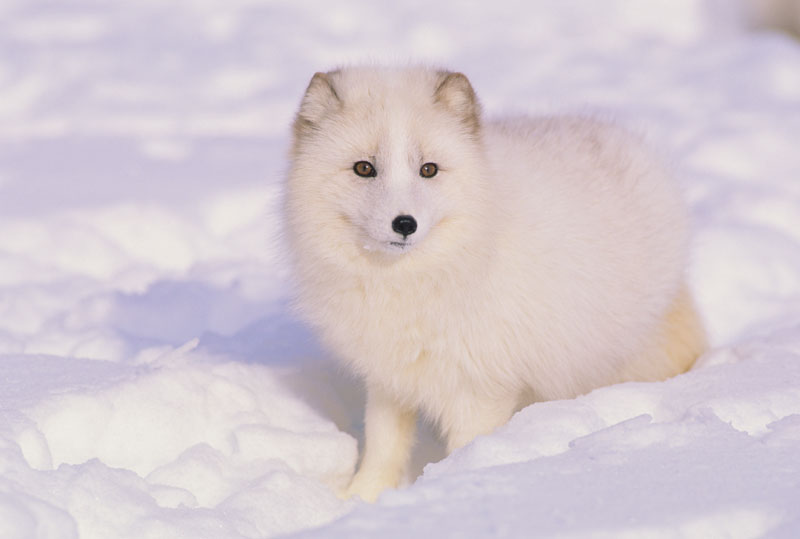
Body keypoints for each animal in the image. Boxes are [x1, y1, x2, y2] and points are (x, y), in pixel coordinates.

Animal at [284, 66, 707, 502]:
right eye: (364, 168)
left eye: (428, 169)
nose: (404, 224)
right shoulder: (389, 379)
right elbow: (383, 448)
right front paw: (359, 500)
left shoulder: (480, 388)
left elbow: (465, 447)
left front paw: (457, 485)